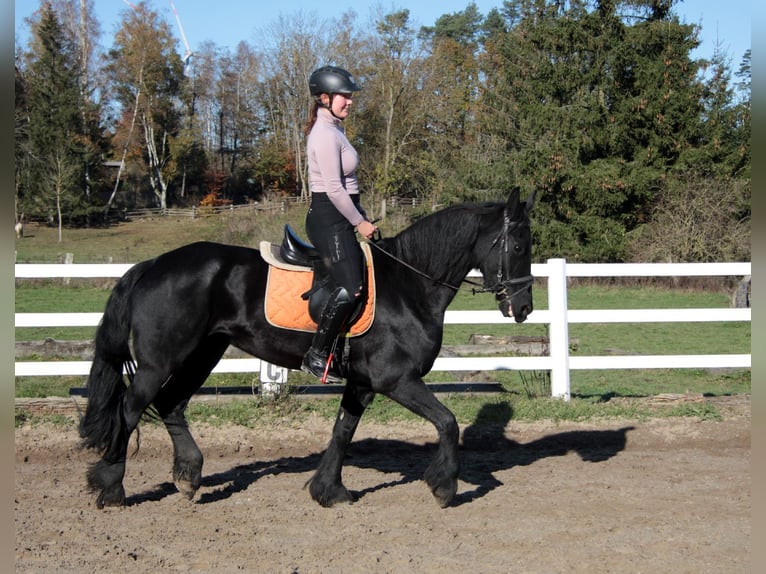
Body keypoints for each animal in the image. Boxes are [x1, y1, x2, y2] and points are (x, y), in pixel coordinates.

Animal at [78, 189, 536, 508]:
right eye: (517, 246)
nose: (524, 308)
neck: (409, 286)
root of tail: (152, 265)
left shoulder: (362, 382)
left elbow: (342, 431)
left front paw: (328, 490)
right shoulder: (396, 380)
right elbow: (448, 422)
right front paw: (444, 486)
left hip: (203, 353)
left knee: (171, 403)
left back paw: (188, 476)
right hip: (160, 361)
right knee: (131, 409)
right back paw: (112, 488)